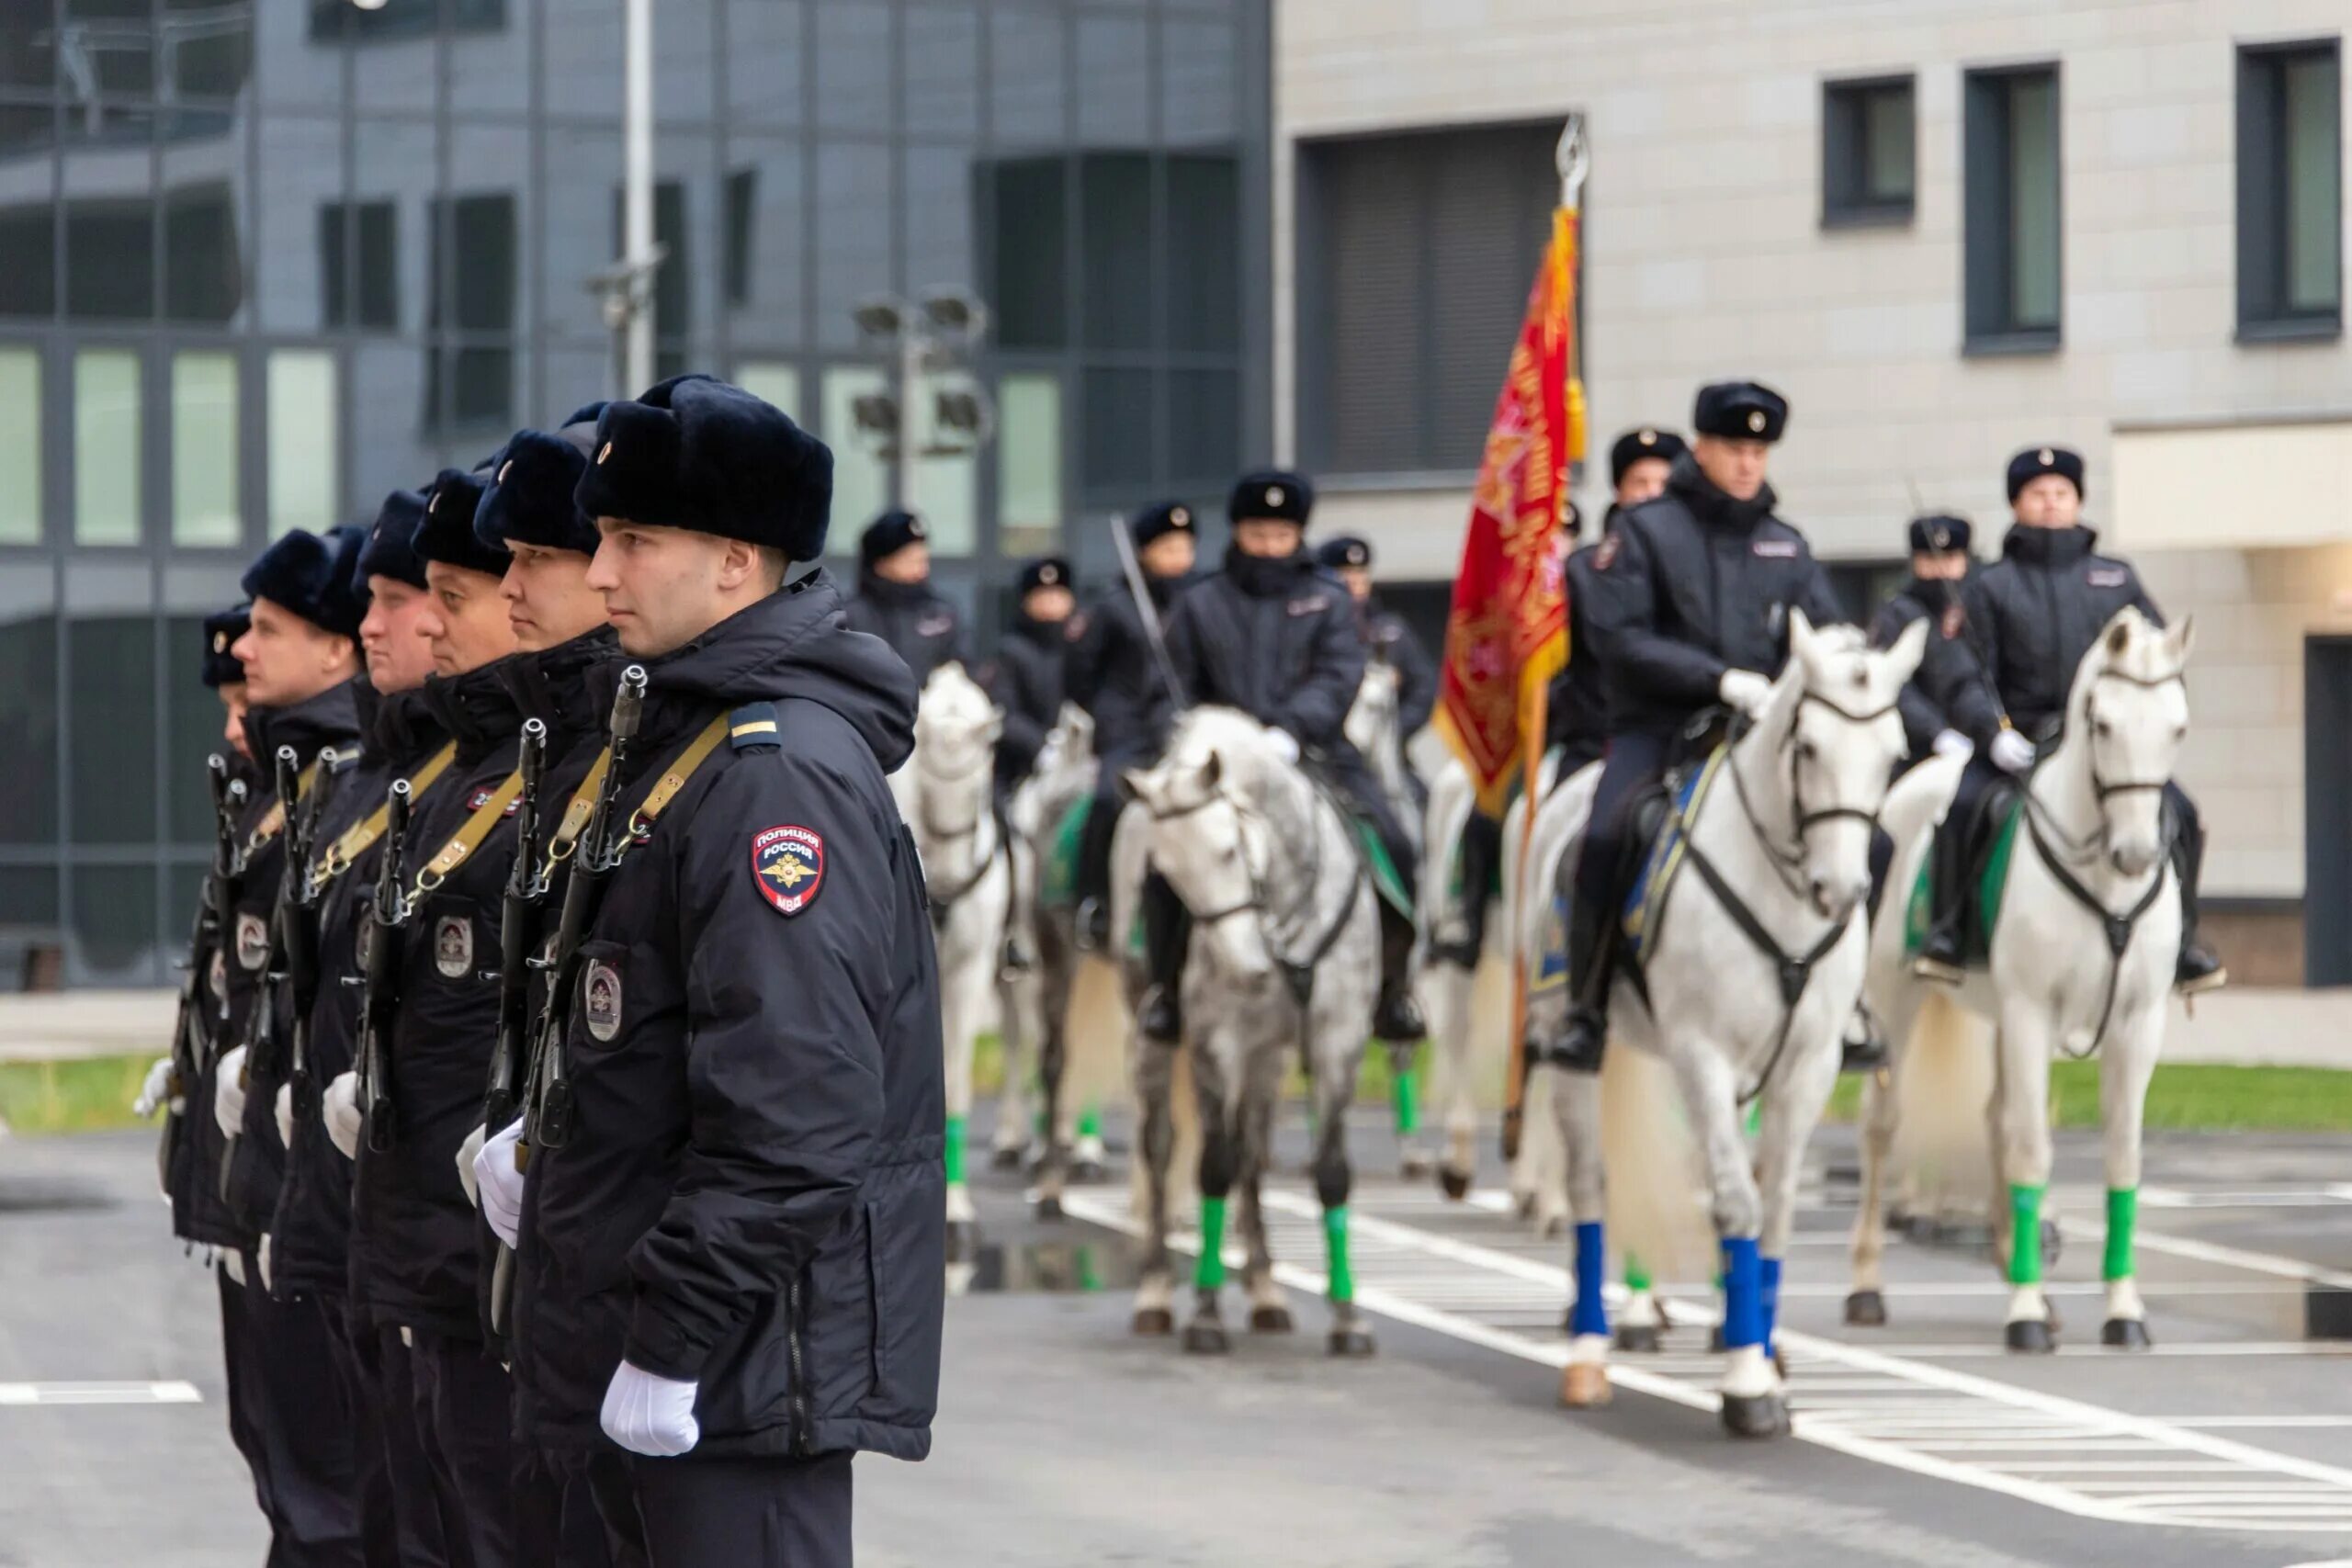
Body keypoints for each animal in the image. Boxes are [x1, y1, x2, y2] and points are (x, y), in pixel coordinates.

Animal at [1114, 709, 1374, 1363]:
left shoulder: (1338, 1039)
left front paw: (1348, 1319)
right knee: (1160, 1146)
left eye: (1230, 849)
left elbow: (1331, 1172)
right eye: (1166, 876)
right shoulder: (1215, 1044)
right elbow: (1213, 1165)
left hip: (1266, 1058)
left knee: (1254, 1148)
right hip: (1153, 1039)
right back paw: (1156, 1292)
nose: (1249, 972)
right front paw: (1205, 1314)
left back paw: (1264, 1290)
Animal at [1523, 611, 1928, 1438]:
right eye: (1808, 747)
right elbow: (1738, 1200)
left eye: (1893, 752)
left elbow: (1770, 1207)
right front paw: (1746, 1385)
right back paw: (1587, 1355)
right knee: (1588, 1184)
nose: (1841, 891)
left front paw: (1763, 1359)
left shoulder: (1805, 1066)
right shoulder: (1702, 1055)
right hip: (1579, 1052)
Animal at [1844, 606, 2191, 1354]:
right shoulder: (2033, 1010)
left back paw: (2012, 1261)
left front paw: (2122, 1310)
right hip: (1897, 1000)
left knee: (1994, 1120)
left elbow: (2122, 1159)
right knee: (1882, 1127)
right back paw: (1866, 1287)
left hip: (1998, 1016)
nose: (2136, 854)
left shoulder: (2137, 1022)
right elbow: (2032, 1148)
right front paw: (2026, 1314)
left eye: (2177, 727)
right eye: (2103, 724)